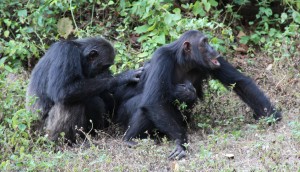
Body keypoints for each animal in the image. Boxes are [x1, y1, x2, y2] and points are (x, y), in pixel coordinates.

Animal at [114, 29, 282, 160]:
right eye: (204, 42)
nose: (212, 47)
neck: (185, 61)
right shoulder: (161, 58)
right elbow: (154, 101)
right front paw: (182, 143)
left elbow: (239, 81)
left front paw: (271, 114)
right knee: (145, 105)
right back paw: (130, 139)